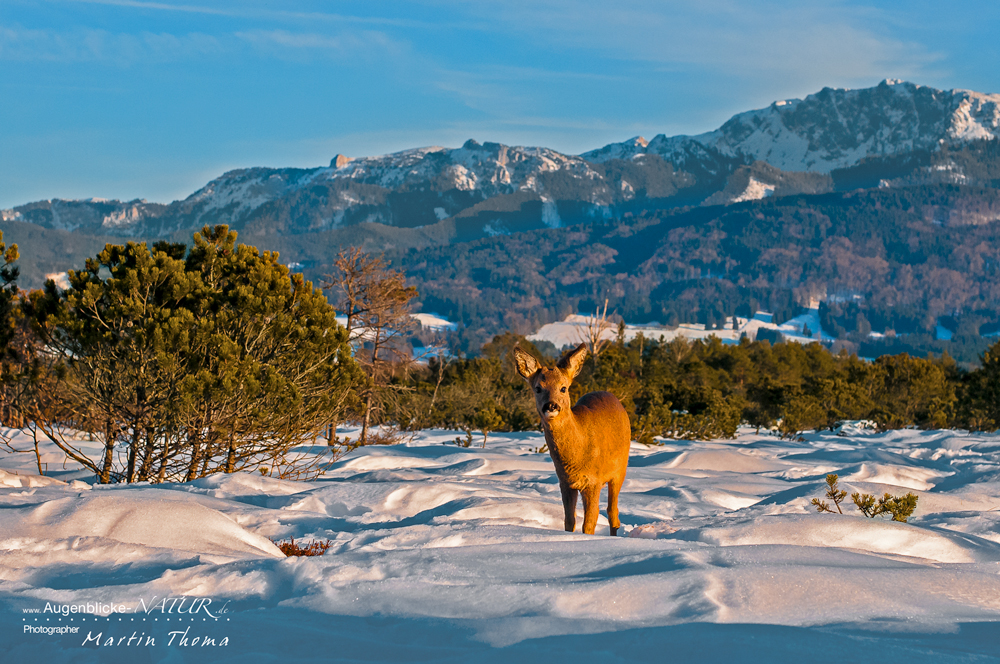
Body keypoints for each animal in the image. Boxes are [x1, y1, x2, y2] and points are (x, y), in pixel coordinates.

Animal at [512, 342, 628, 536]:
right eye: (538, 388)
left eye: (563, 387)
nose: (551, 406)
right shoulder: (565, 482)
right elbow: (569, 521)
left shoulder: (593, 481)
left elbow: (589, 523)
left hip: (620, 470)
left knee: (613, 512)